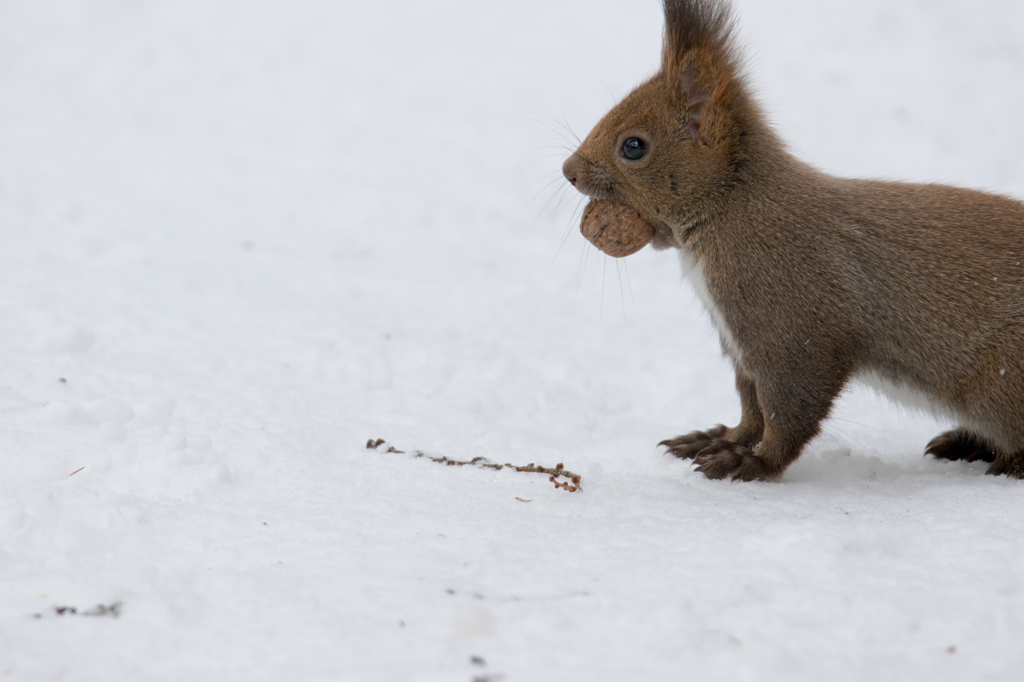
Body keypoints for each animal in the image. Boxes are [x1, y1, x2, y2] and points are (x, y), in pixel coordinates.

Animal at [561, 0, 1024, 481]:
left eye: (633, 146)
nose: (567, 171)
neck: (731, 207)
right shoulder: (741, 345)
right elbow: (752, 408)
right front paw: (719, 439)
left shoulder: (790, 322)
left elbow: (789, 406)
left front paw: (753, 462)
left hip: (1005, 380)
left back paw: (1005, 462)